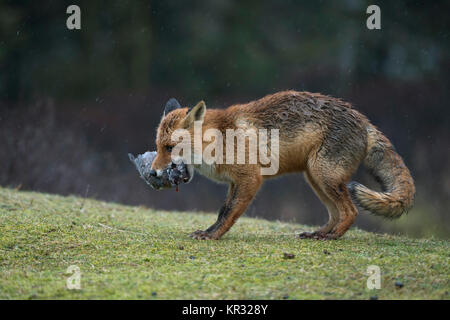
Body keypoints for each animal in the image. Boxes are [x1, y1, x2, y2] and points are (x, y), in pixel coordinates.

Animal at [150, 91, 414, 239]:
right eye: (158, 145)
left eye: (170, 148)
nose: (152, 172)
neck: (219, 139)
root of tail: (363, 120)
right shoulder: (234, 182)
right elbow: (222, 210)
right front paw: (208, 231)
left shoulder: (250, 179)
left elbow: (229, 213)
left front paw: (213, 235)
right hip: (315, 178)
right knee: (336, 214)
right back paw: (319, 233)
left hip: (324, 175)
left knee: (351, 212)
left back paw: (332, 238)